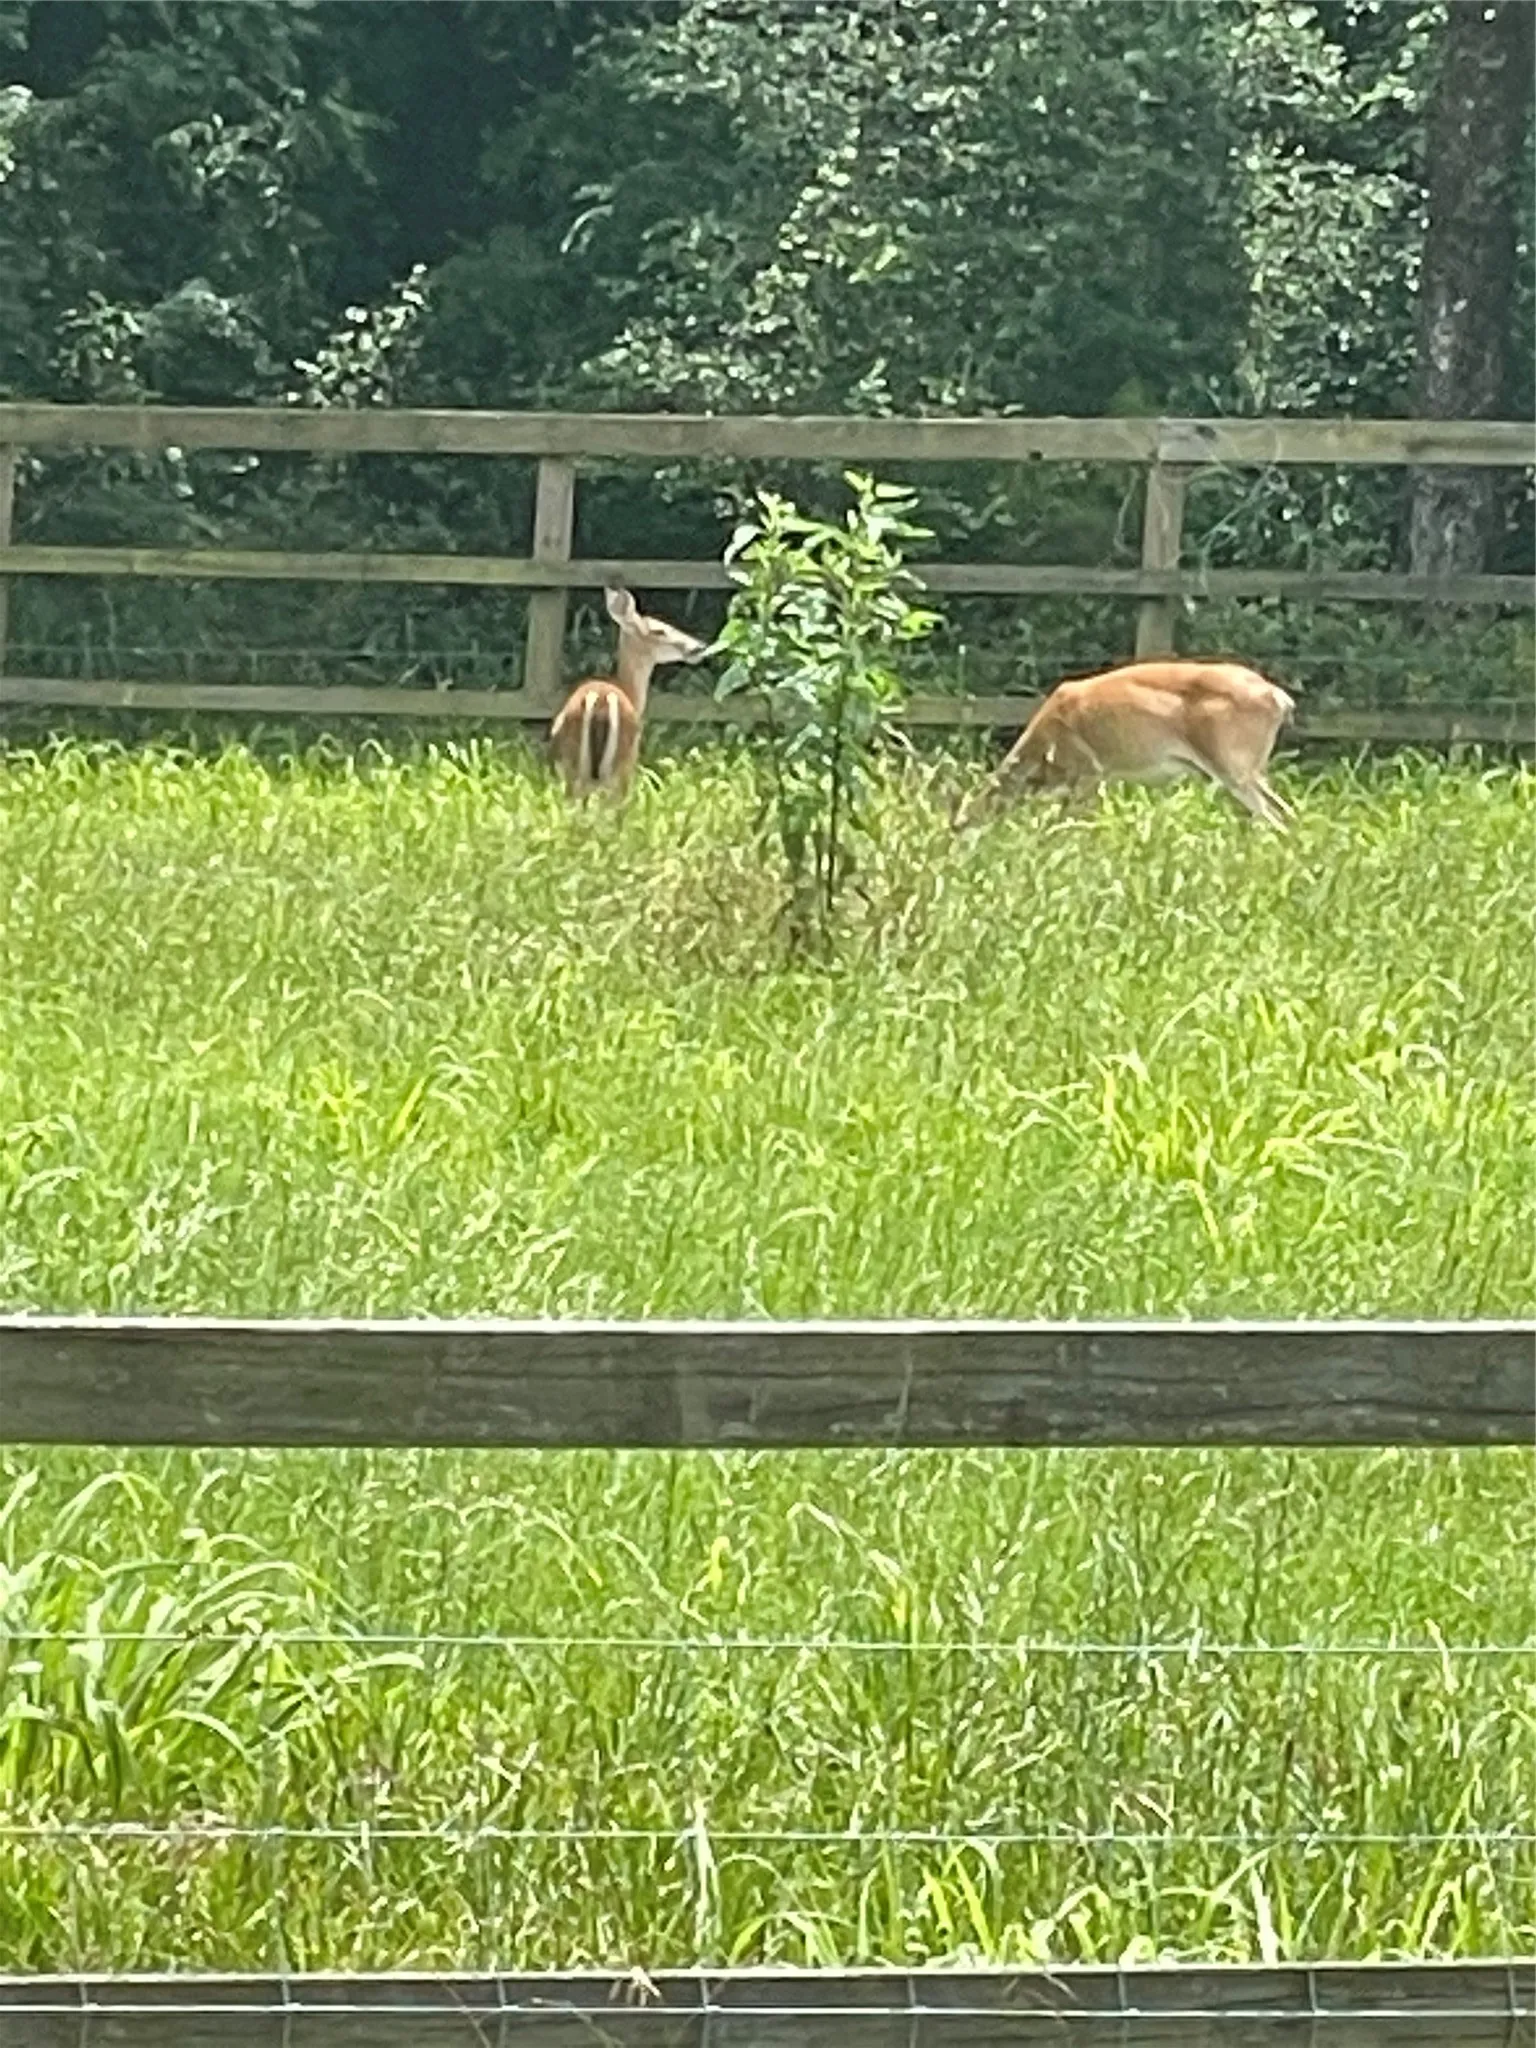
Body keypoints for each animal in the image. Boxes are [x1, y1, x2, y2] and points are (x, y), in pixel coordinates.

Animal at [549, 586, 710, 800]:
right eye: (659, 630)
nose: (699, 647)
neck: (629, 690)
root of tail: (600, 704)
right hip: (622, 765)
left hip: (572, 767)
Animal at [953, 659, 1297, 831]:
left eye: (964, 821)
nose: (954, 832)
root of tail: (1280, 698)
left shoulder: (1089, 772)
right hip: (1247, 768)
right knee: (1285, 811)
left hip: (1230, 763)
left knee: (1273, 816)